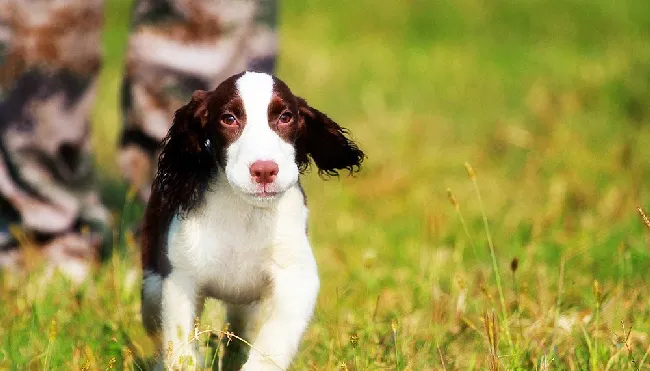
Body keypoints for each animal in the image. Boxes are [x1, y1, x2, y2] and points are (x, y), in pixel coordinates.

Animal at [141, 71, 362, 370]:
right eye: (229, 118)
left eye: (285, 117)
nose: (265, 170)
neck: (245, 212)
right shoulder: (180, 277)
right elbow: (182, 348)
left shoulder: (296, 277)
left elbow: (273, 343)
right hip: (153, 286)